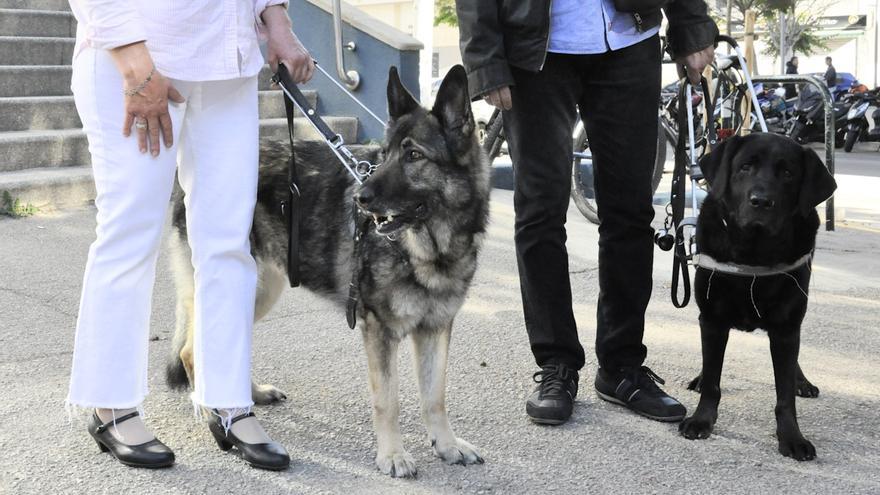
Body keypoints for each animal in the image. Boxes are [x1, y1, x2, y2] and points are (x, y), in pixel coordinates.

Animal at [167, 66, 488, 476]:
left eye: (414, 155)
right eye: (385, 155)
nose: (360, 199)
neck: (428, 248)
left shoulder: (435, 329)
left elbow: (435, 396)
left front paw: (446, 446)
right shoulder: (379, 332)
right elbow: (389, 401)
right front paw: (392, 455)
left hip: (258, 290)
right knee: (192, 352)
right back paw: (215, 413)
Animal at [680, 133, 840, 462]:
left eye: (788, 173)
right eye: (745, 167)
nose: (761, 201)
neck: (753, 254)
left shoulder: (787, 329)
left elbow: (785, 396)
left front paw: (792, 437)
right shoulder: (712, 320)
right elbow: (713, 382)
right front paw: (702, 420)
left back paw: (802, 382)